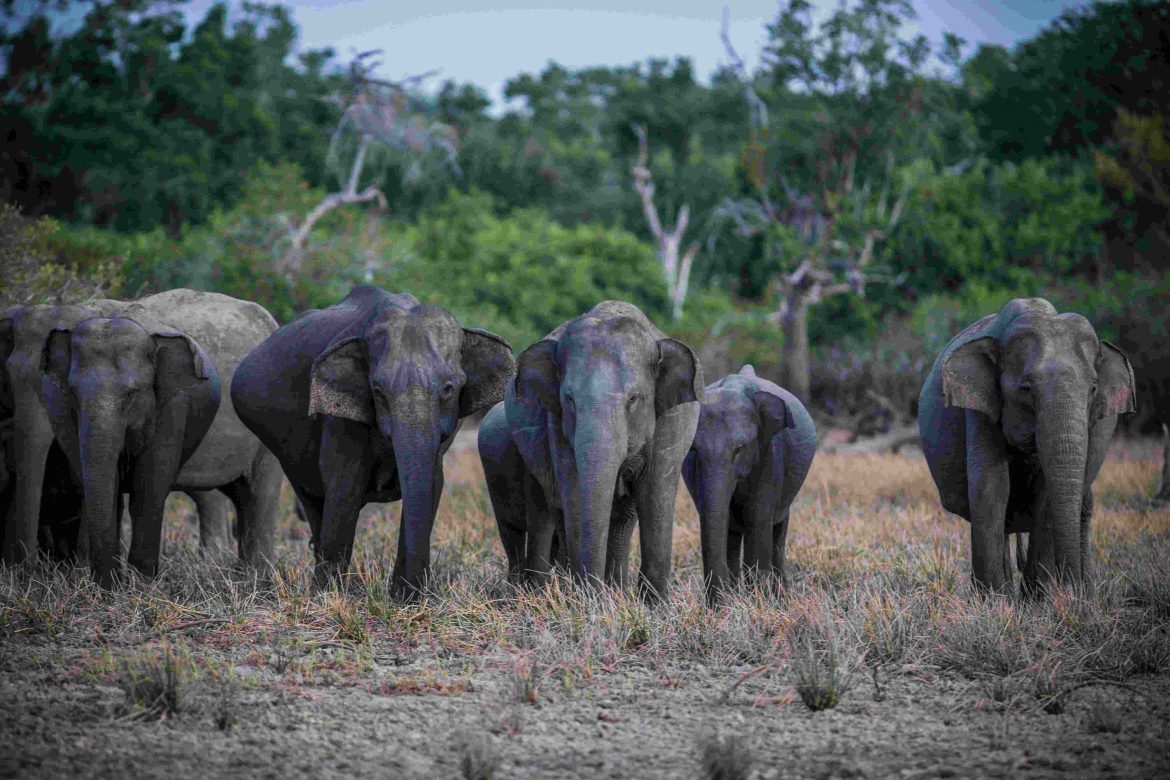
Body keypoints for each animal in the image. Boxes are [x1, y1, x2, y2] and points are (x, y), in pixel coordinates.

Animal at [39, 290, 283, 585]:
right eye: (73, 393)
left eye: (134, 393)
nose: (106, 585)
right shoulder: (58, 405)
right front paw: (109, 585)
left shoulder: (173, 404)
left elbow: (149, 484)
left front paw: (141, 585)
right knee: (241, 496)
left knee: (261, 494)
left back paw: (259, 580)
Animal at [230, 285, 515, 596]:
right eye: (377, 391)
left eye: (448, 389)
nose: (416, 592)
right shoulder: (340, 418)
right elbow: (345, 487)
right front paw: (330, 596)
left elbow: (432, 484)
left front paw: (405, 598)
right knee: (314, 500)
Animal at [479, 300, 702, 598]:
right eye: (569, 399)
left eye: (634, 399)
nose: (591, 592)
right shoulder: (557, 426)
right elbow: (574, 493)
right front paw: (587, 600)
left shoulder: (673, 419)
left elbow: (655, 494)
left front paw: (653, 605)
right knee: (536, 518)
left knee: (621, 522)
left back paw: (613, 590)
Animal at [681, 365, 816, 604]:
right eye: (694, 449)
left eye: (740, 449)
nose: (715, 607)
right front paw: (732, 604)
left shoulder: (770, 453)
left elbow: (758, 516)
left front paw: (759, 603)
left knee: (778, 529)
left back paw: (782, 597)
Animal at [918, 297, 1136, 592]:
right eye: (1026, 389)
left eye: (1093, 389)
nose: (1071, 586)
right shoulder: (980, 407)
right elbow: (991, 485)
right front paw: (994, 600)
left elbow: (1048, 493)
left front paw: (1039, 596)